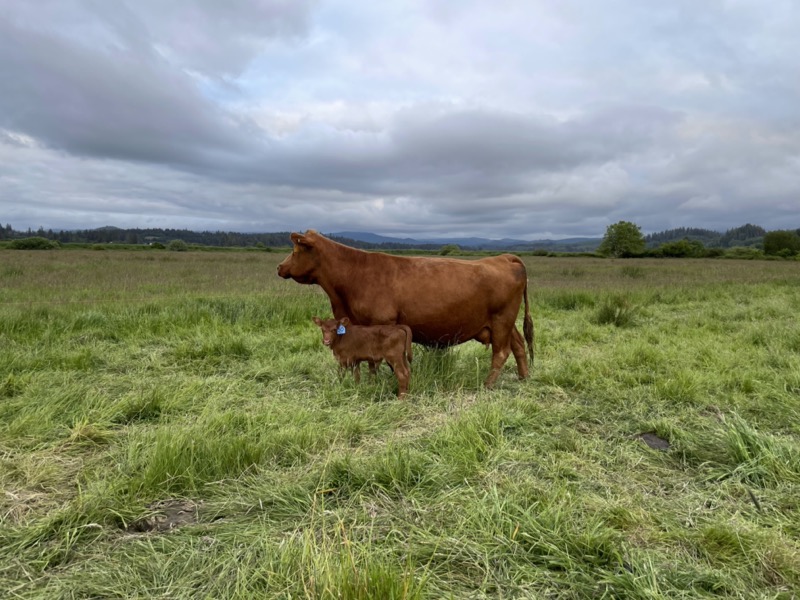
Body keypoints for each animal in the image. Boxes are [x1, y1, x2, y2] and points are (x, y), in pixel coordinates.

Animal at [279, 230, 534, 388]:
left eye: (294, 251)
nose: (279, 266)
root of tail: (503, 258)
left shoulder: (383, 324)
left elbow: (380, 360)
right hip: (503, 322)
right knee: (519, 345)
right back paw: (524, 378)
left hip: (502, 319)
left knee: (501, 352)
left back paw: (487, 385)